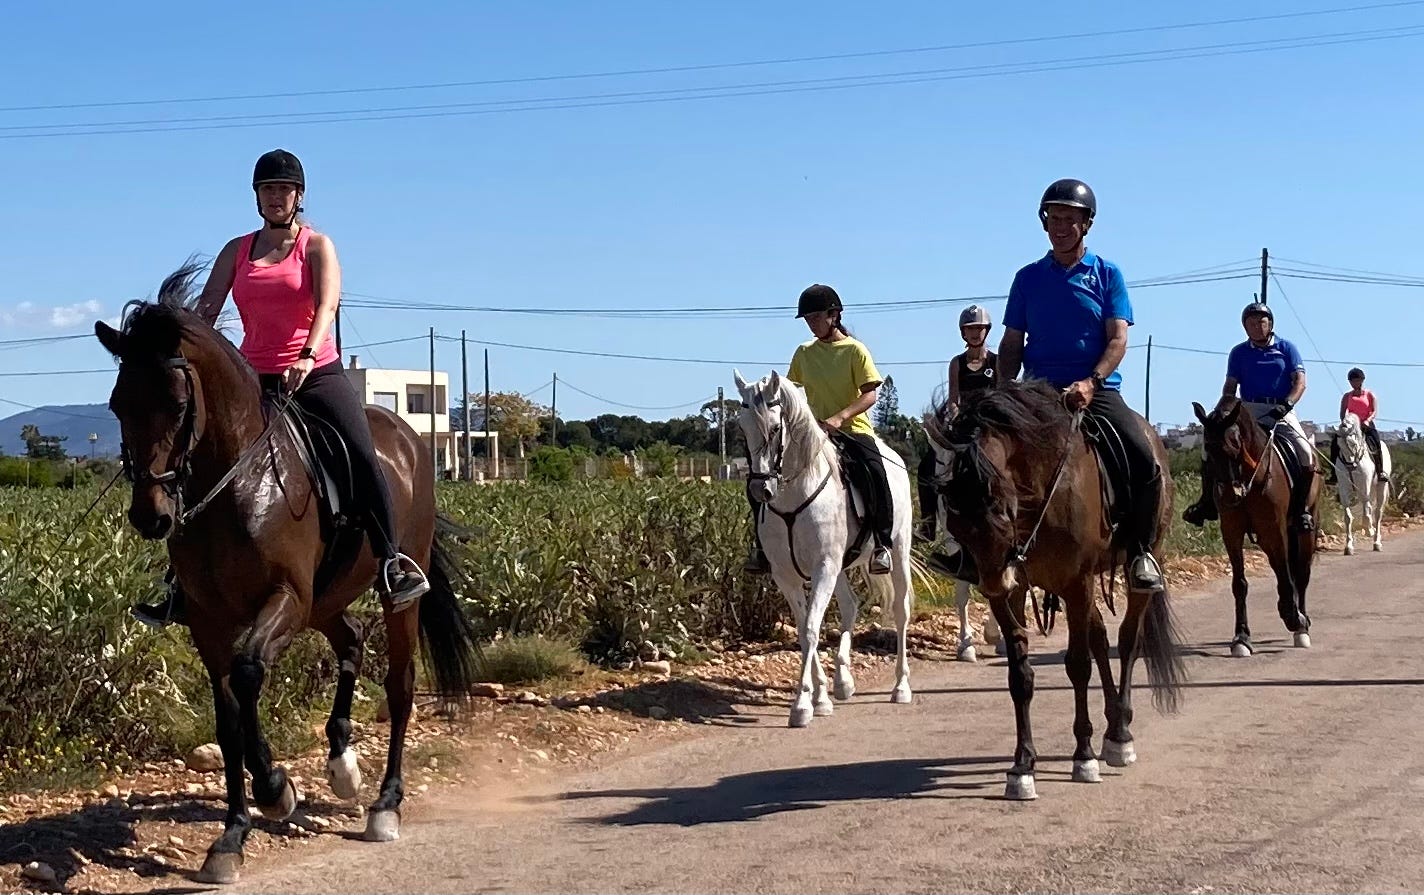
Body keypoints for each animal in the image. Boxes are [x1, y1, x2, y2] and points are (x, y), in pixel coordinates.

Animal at [94, 263, 480, 884]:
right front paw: (231, 837)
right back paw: (342, 762)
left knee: (399, 685)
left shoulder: (285, 599)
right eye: (116, 405)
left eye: (178, 404)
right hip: (326, 600)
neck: (235, 483)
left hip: (388, 594)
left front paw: (276, 789)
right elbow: (227, 718)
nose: (151, 517)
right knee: (352, 638)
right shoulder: (208, 620)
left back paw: (385, 805)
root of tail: (407, 437)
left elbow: (250, 673)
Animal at [733, 370, 914, 727]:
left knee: (900, 611)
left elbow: (812, 629)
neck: (793, 498)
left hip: (898, 549)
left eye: (774, 428)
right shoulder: (787, 575)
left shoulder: (823, 568)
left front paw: (802, 706)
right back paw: (843, 682)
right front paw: (819, 697)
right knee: (851, 606)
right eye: (743, 428)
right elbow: (805, 631)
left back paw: (901, 687)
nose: (760, 490)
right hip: (841, 568)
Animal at [930, 380, 1186, 801]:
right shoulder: (1016, 590)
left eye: (1002, 507)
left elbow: (1078, 665)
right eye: (953, 512)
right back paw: (1112, 723)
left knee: (1127, 640)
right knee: (1099, 637)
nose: (992, 581)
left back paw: (1120, 736)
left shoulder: (1076, 582)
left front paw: (1083, 757)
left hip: (1140, 562)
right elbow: (1020, 674)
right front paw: (1022, 766)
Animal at [1193, 397, 1316, 658]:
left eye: (1235, 447)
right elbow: (1240, 583)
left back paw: (1301, 625)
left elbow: (1287, 576)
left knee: (1300, 574)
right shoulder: (1232, 531)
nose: (1231, 496)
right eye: (1208, 450)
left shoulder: (1275, 529)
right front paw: (1241, 638)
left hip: (1304, 531)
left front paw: (1294, 619)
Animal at [1332, 411, 1391, 555]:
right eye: (1339, 444)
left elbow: (1367, 509)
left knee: (1378, 513)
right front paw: (1348, 547)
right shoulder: (1344, 487)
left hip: (1381, 487)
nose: (1351, 465)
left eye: (1353, 443)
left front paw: (1369, 530)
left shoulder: (1364, 485)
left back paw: (1377, 542)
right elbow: (1348, 517)